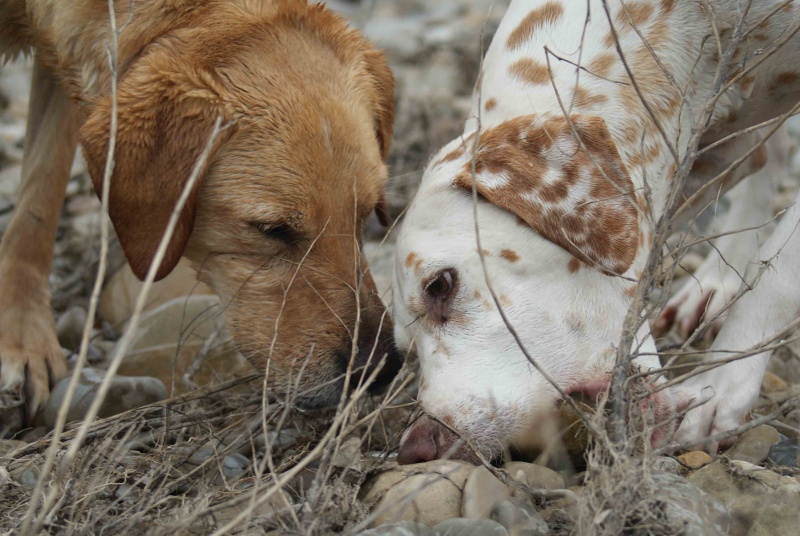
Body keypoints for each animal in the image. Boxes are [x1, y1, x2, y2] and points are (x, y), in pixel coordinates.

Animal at [0, 0, 400, 420]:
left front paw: (24, 335)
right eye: (271, 229)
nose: (380, 368)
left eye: (365, 214)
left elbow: (38, 204)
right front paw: (24, 341)